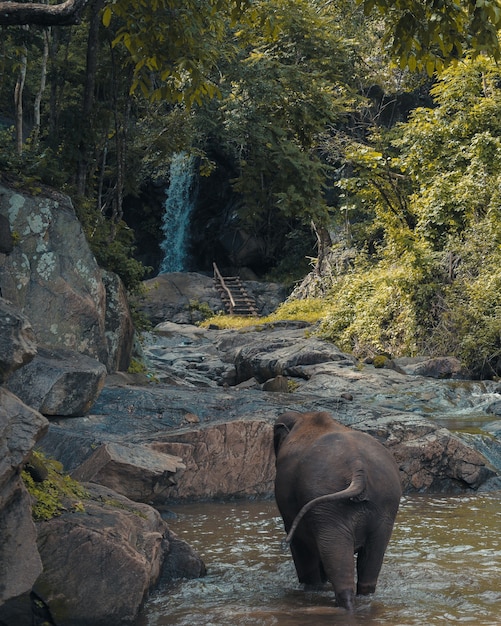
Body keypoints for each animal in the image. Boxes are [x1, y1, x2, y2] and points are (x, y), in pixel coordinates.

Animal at [272, 410, 400, 608]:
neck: (304, 418)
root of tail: (358, 468)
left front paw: (311, 587)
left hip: (329, 509)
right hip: (384, 507)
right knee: (371, 563)